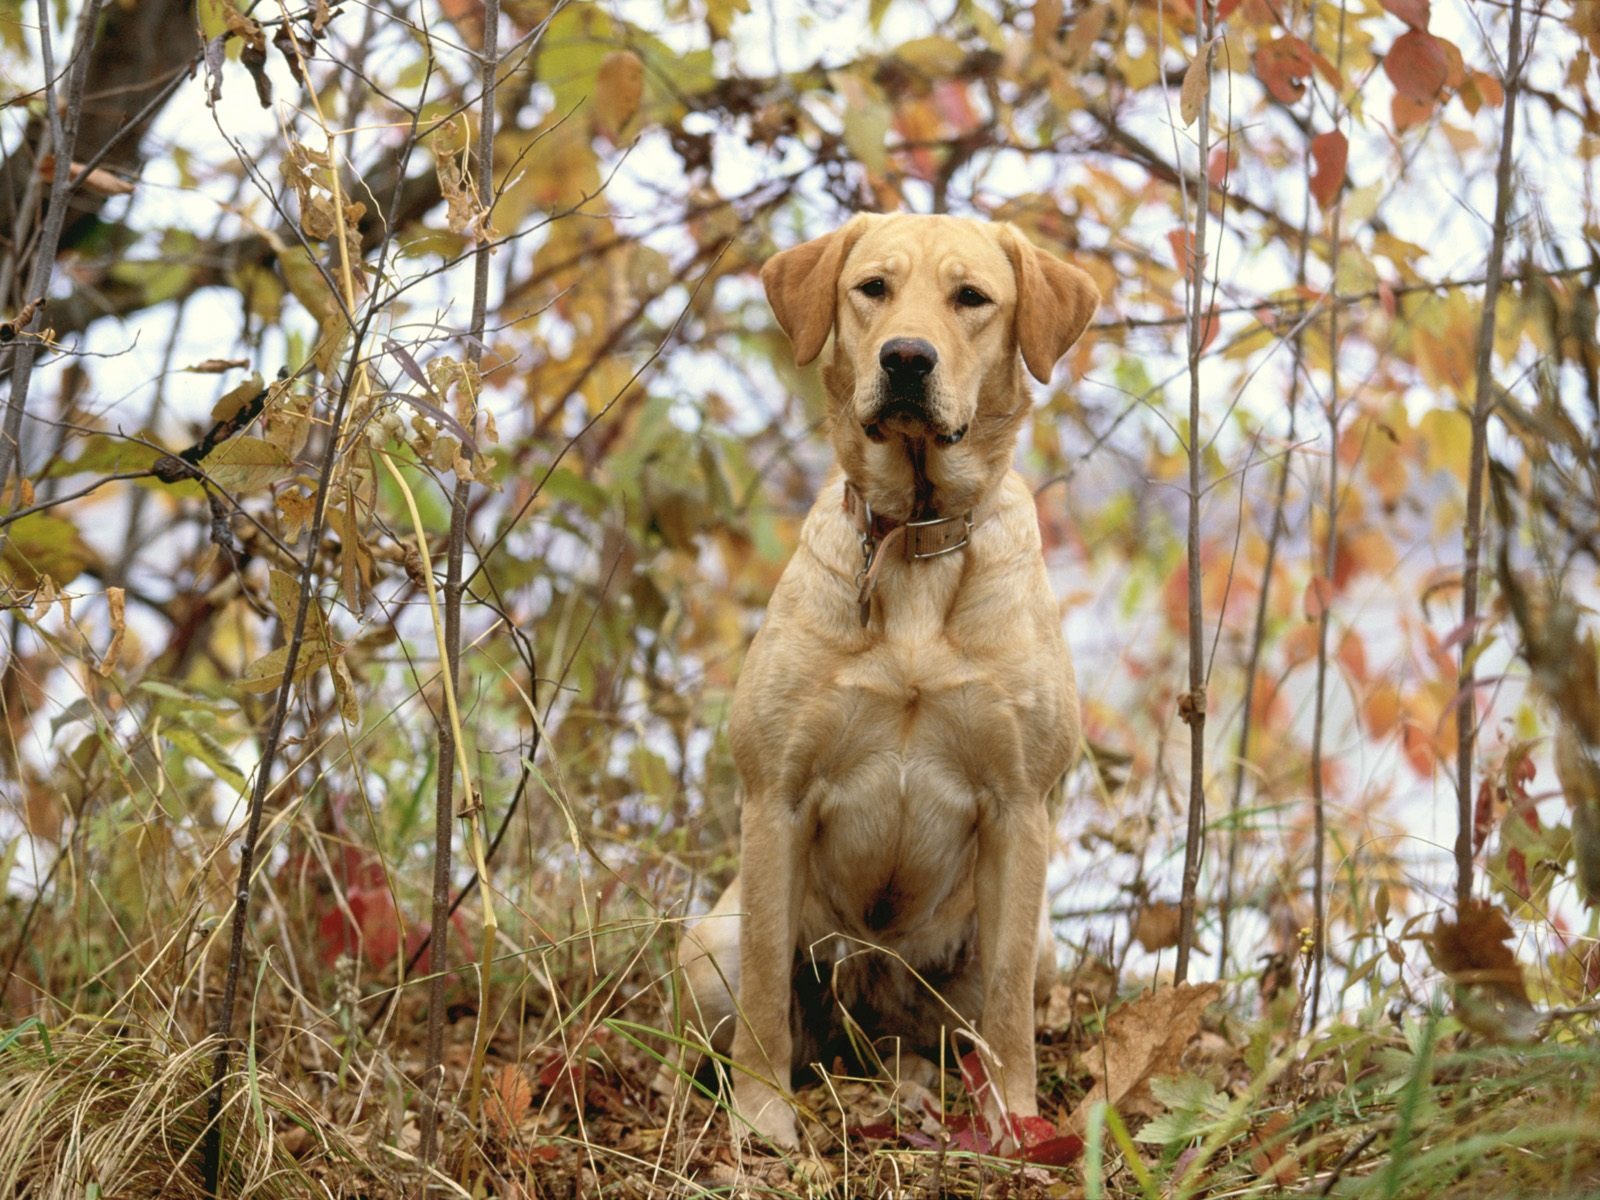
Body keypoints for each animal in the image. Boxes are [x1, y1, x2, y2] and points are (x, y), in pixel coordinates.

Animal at [675, 211, 1100, 1152]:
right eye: (872, 287)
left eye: (971, 298)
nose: (907, 358)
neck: (914, 539)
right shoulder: (776, 795)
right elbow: (768, 992)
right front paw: (763, 1118)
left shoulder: (1020, 804)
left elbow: (1008, 1010)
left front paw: (1015, 1126)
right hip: (709, 944)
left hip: (1031, 950)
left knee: (950, 1034)